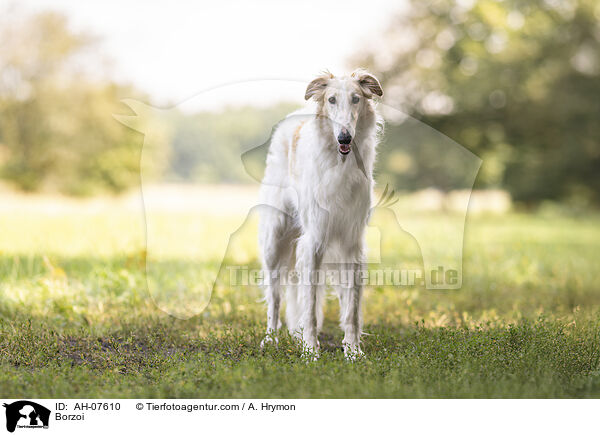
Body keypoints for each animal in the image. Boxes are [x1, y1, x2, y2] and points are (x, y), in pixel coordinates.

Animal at [258, 70, 384, 360]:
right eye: (331, 100)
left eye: (356, 99)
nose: (344, 138)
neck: (340, 165)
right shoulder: (313, 241)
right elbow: (310, 307)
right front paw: (310, 351)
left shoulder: (351, 244)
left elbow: (352, 309)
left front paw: (353, 350)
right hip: (274, 240)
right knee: (275, 297)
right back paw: (271, 338)